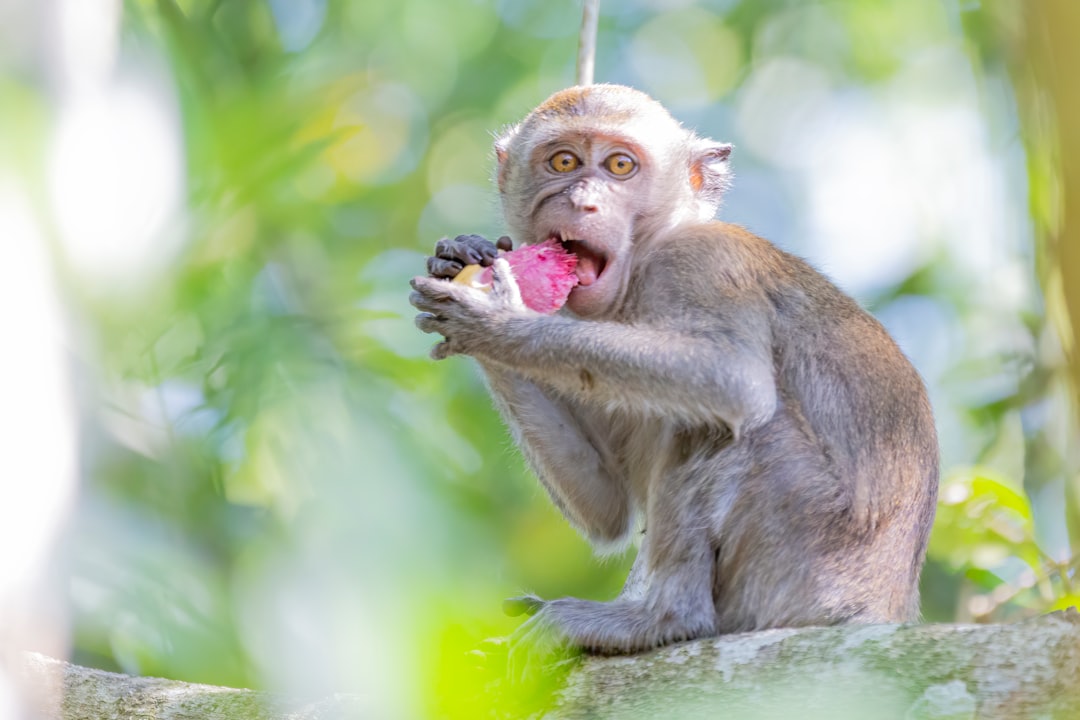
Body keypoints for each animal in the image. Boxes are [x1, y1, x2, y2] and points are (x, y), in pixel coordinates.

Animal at [406, 84, 937, 669]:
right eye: (563, 162)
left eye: (620, 166)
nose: (583, 201)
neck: (645, 260)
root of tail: (880, 607)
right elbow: (606, 506)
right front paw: (459, 259)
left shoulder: (701, 264)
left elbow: (733, 380)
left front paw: (493, 322)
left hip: (805, 555)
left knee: (729, 424)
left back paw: (663, 619)